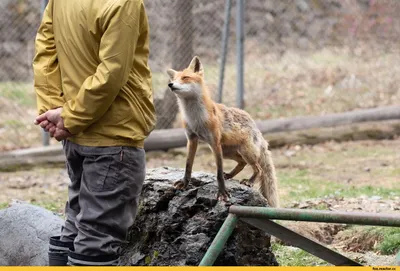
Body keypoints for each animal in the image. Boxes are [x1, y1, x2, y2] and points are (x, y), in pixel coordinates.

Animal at [166, 56, 278, 207]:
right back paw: (230, 175)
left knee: (258, 168)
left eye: (185, 77)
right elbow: (188, 165)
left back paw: (249, 181)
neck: (195, 117)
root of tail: (255, 126)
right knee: (242, 163)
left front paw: (222, 193)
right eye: (174, 79)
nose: (170, 84)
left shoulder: (215, 143)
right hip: (228, 152)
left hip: (244, 152)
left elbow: (218, 173)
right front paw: (185, 183)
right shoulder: (192, 139)